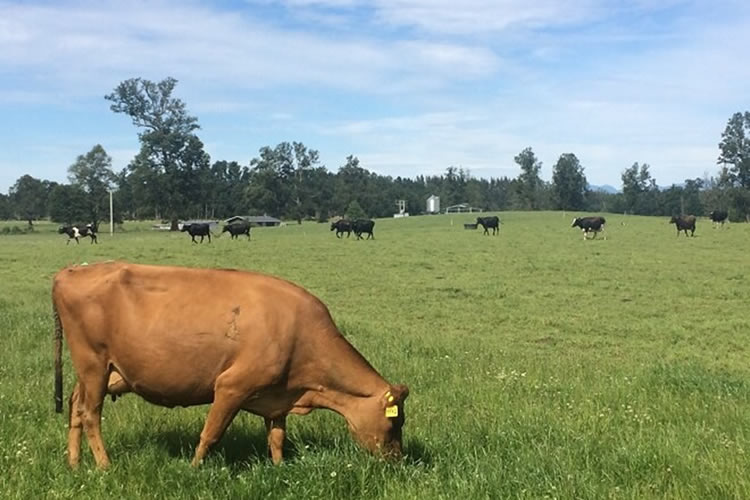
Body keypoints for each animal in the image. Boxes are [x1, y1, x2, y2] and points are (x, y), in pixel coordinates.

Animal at [51, 262, 412, 468]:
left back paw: (74, 463)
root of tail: (70, 271)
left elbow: (277, 437)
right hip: (93, 365)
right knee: (90, 414)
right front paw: (194, 469)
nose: (397, 461)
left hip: (97, 372)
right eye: (394, 422)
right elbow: (210, 434)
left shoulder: (279, 396)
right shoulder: (231, 386)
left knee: (74, 406)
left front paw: (280, 469)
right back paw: (104, 466)